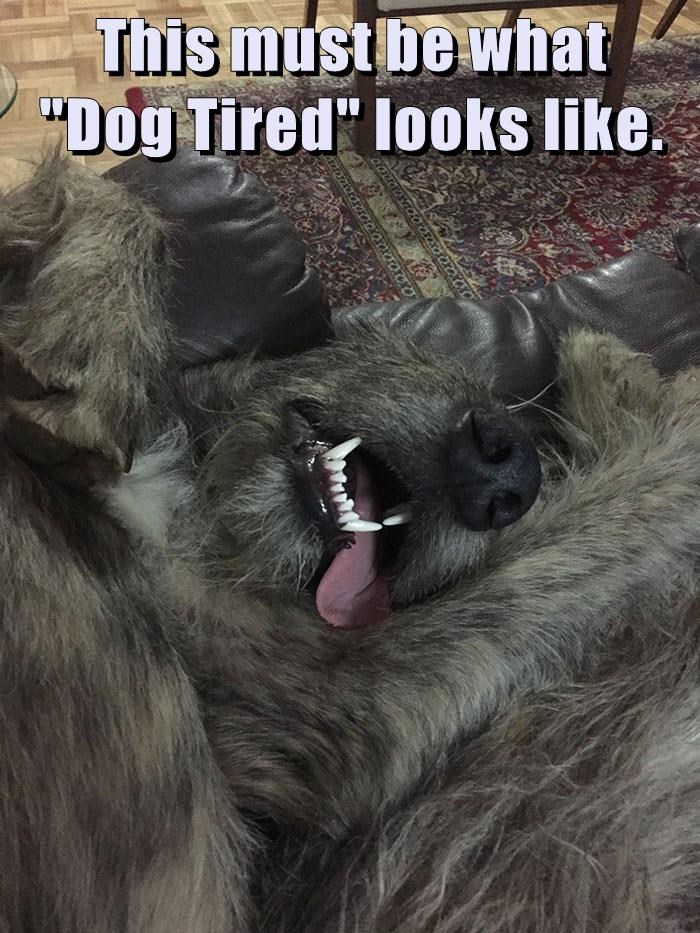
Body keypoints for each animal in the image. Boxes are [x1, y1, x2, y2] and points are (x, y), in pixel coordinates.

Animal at [1, 155, 699, 932]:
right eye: (434, 365)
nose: (511, 473)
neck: (195, 475)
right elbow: (110, 197)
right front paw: (82, 359)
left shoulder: (334, 695)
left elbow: (641, 490)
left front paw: (626, 375)